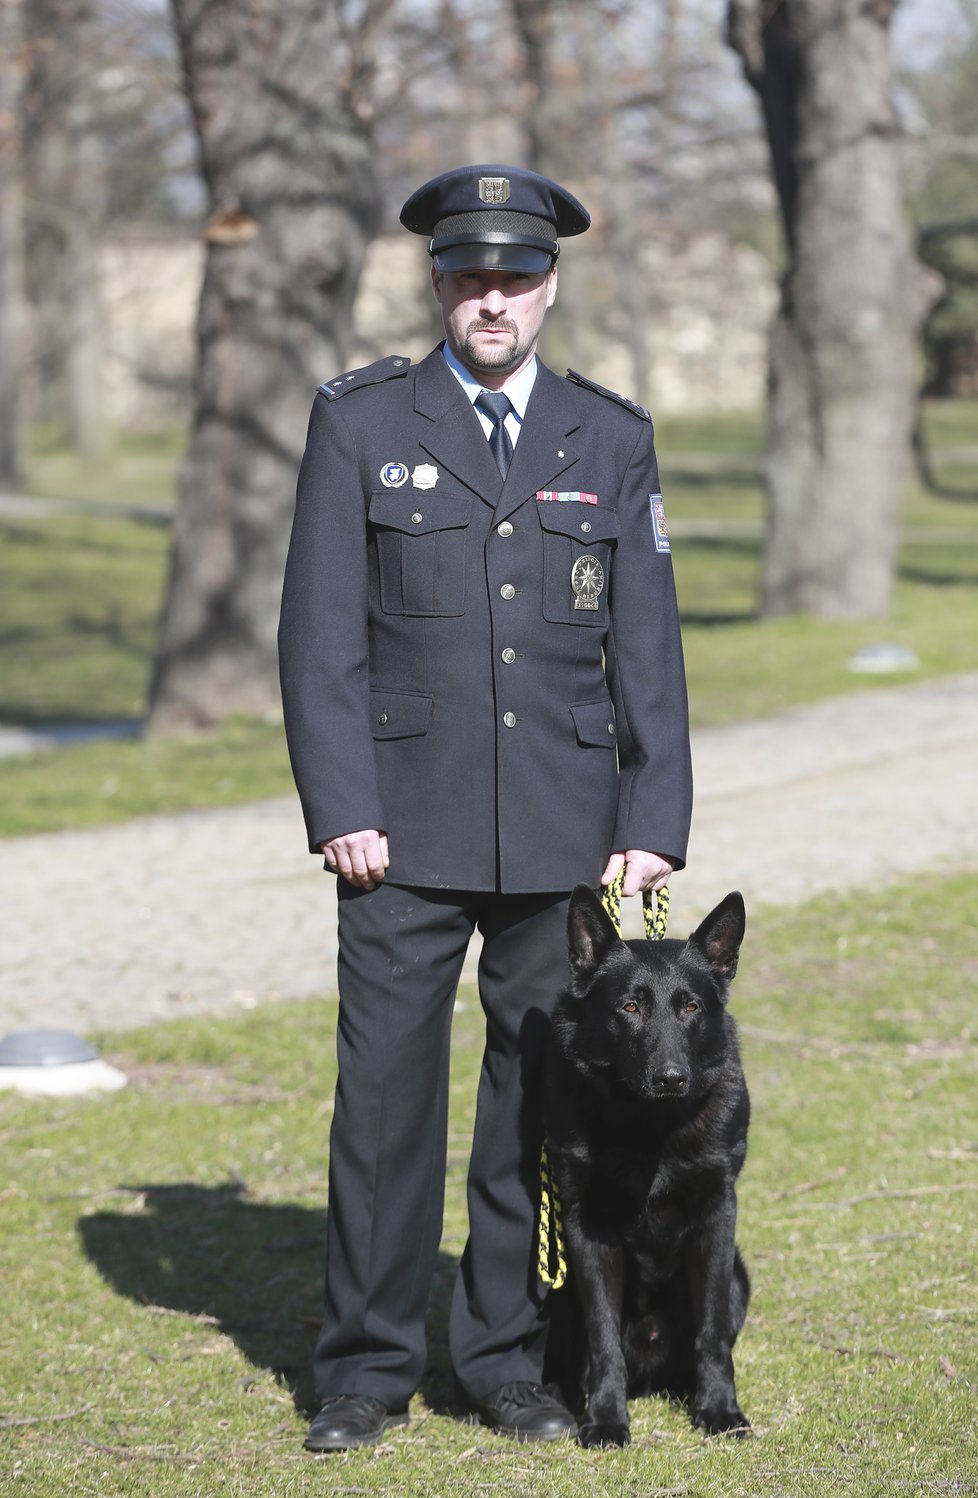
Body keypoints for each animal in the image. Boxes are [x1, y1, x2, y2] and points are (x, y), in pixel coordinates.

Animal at [542, 880, 748, 1444]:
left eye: (691, 1007)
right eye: (630, 1007)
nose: (671, 1078)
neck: (649, 1126)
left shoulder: (717, 1217)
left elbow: (712, 1334)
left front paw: (720, 1409)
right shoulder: (587, 1231)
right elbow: (603, 1339)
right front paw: (606, 1418)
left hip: (739, 1277)